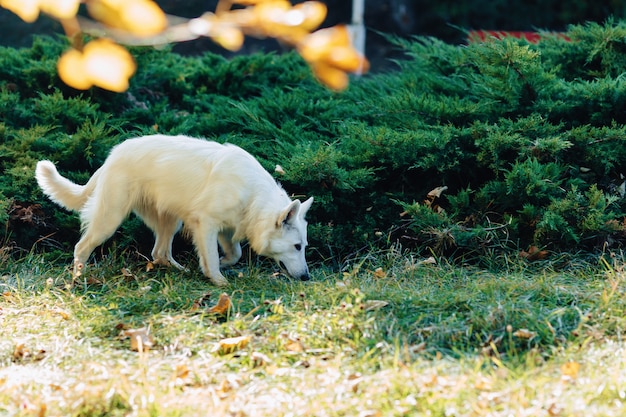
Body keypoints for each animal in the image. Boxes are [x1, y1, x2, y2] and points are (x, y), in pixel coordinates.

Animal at [34, 135, 312, 284]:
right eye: (297, 246)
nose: (307, 278)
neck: (253, 194)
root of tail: (111, 158)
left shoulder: (225, 229)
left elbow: (235, 254)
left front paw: (221, 265)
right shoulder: (206, 224)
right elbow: (212, 256)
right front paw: (218, 279)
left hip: (171, 221)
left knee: (159, 252)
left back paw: (179, 270)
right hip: (110, 218)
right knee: (81, 247)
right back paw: (78, 278)